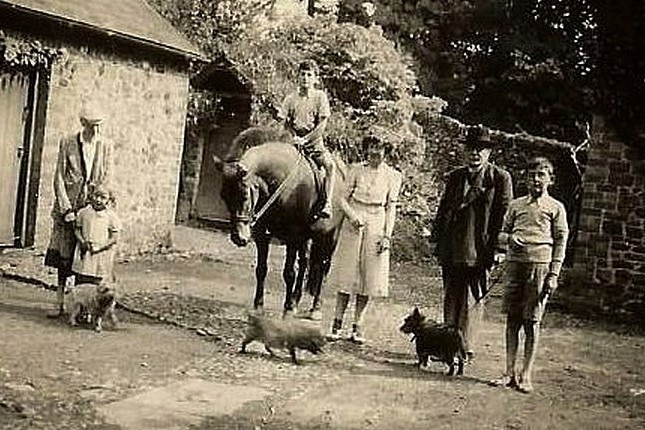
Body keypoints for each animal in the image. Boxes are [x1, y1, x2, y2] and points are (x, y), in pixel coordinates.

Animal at [214, 133, 348, 318]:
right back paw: (296, 301)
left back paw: (315, 308)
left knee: (323, 266)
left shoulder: (293, 237)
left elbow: (289, 273)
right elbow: (261, 269)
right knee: (305, 263)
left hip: (330, 235)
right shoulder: (263, 235)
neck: (282, 183)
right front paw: (259, 306)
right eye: (223, 196)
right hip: (306, 239)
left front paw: (287, 308)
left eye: (245, 195)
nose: (238, 237)